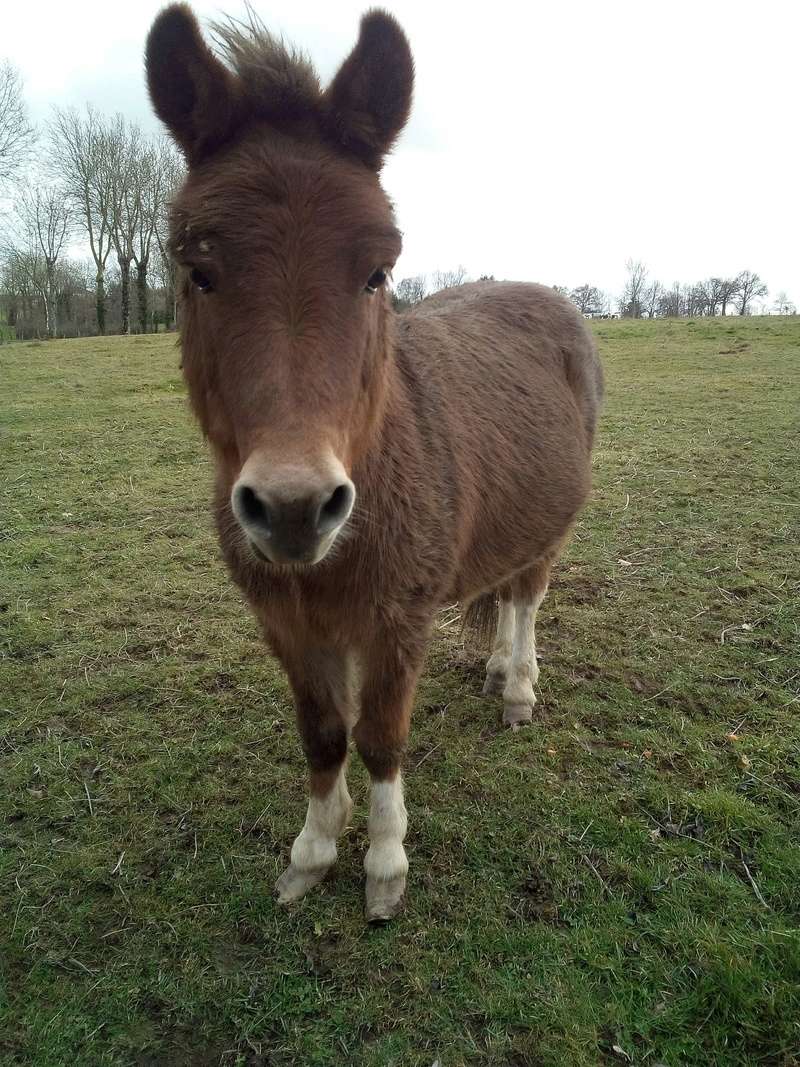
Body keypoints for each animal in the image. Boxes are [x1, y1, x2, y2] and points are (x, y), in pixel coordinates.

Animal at [147, 4, 605, 921]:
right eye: (198, 269)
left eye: (378, 269)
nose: (294, 504)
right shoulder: (289, 627)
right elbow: (325, 733)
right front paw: (313, 851)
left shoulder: (397, 622)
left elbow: (382, 735)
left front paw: (385, 864)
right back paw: (495, 665)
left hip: (550, 529)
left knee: (528, 597)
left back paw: (518, 686)